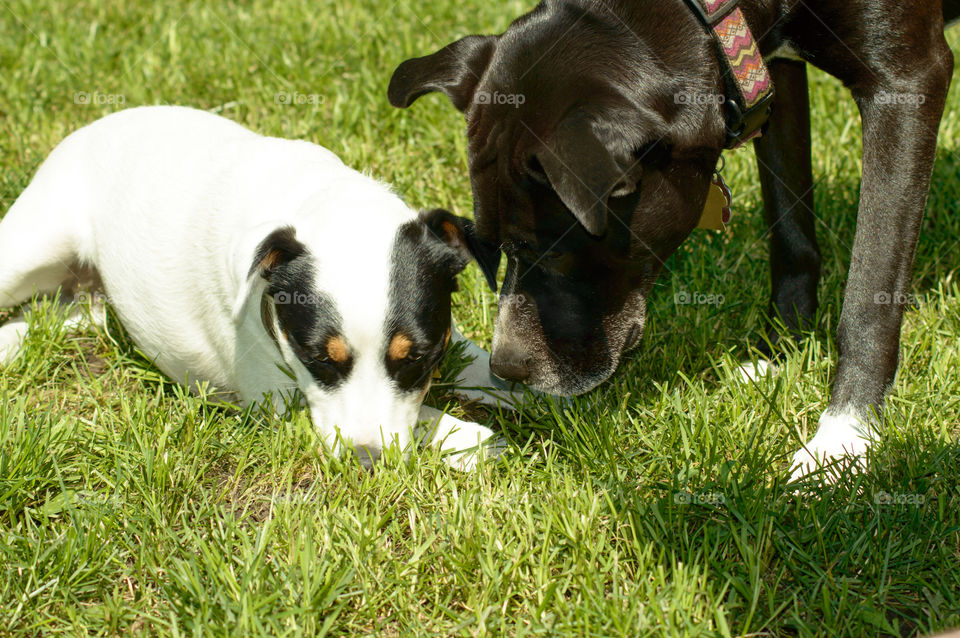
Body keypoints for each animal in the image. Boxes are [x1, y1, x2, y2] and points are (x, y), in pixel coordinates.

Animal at [0, 106, 516, 470]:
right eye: (315, 359)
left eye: (417, 358)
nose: (365, 461)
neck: (321, 199)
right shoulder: (279, 403)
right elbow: (423, 416)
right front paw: (473, 438)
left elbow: (490, 369)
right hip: (34, 246)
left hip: (86, 300)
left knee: (55, 313)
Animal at [388, 0, 952, 478]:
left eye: (548, 249)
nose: (504, 368)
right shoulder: (772, 73)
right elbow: (790, 230)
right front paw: (781, 350)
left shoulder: (908, 79)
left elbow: (870, 292)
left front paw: (844, 438)